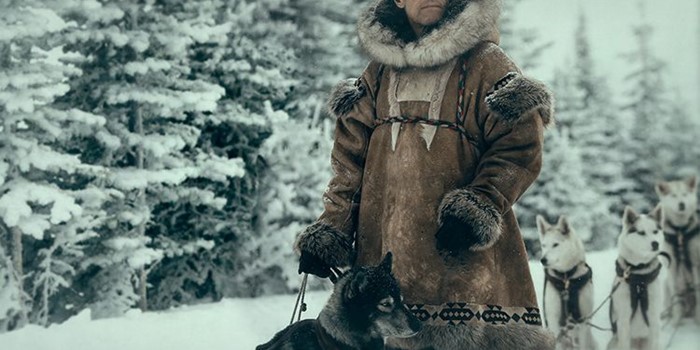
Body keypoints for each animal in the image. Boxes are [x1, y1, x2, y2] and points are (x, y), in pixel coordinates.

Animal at [536, 215, 596, 348]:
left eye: (555, 244)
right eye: (543, 245)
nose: (543, 260)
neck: (566, 277)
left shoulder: (583, 320)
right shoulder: (553, 319)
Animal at [656, 176, 700, 324]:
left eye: (684, 194)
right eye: (673, 196)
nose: (682, 204)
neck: (680, 230)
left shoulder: (695, 264)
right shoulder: (672, 267)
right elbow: (676, 297)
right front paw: (675, 322)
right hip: (665, 285)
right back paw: (666, 316)